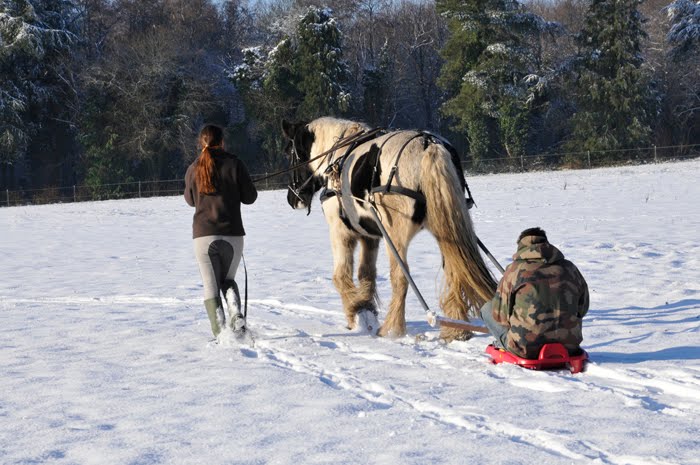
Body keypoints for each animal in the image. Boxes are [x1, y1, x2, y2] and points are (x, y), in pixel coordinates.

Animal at [280, 116, 498, 340]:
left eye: (288, 153)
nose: (292, 199)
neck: (338, 157)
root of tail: (429, 144)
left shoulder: (340, 231)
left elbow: (340, 276)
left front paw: (356, 310)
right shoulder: (370, 236)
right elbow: (366, 274)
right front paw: (366, 307)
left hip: (396, 235)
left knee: (401, 277)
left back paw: (392, 328)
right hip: (444, 229)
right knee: (454, 270)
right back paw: (456, 330)